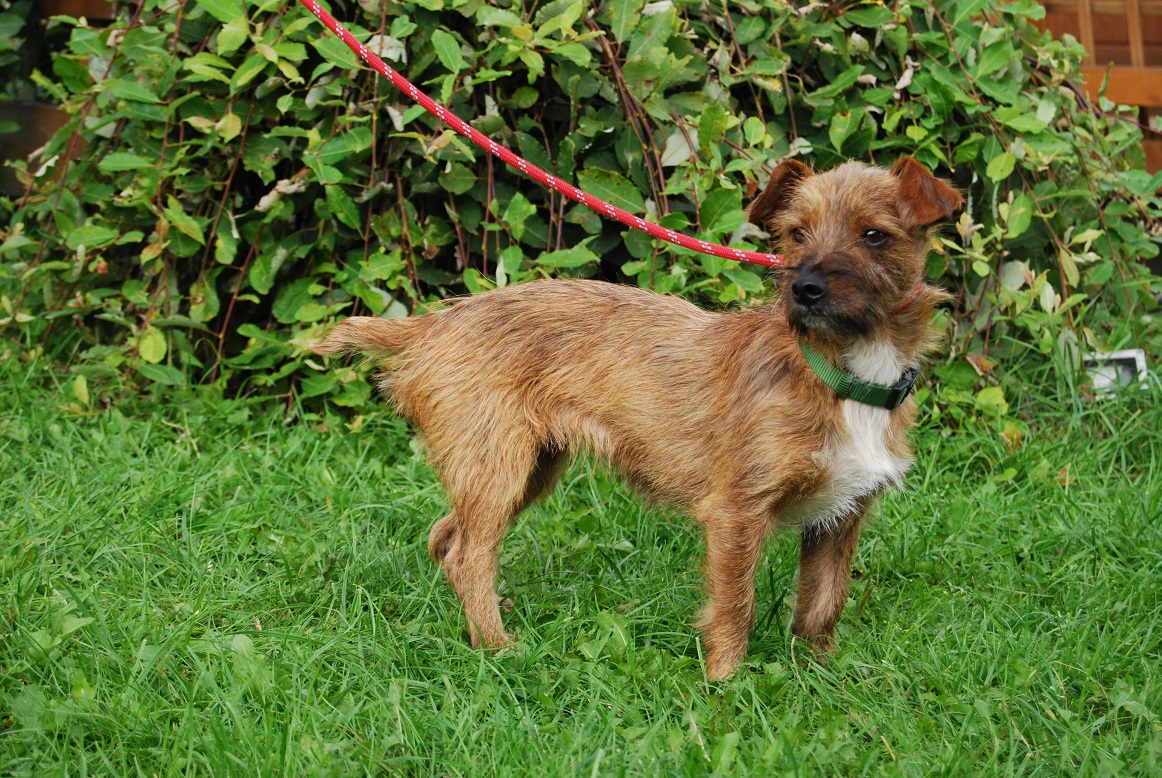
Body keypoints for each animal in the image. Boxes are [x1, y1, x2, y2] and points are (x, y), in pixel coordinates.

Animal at [310, 156, 964, 680]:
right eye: (796, 235)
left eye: (875, 236)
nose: (803, 289)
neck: (838, 370)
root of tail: (433, 324)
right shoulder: (736, 513)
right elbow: (737, 606)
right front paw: (725, 688)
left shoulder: (841, 518)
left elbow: (824, 604)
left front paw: (823, 673)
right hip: (499, 468)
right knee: (471, 554)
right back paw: (498, 646)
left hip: (524, 472)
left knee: (447, 539)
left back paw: (482, 627)